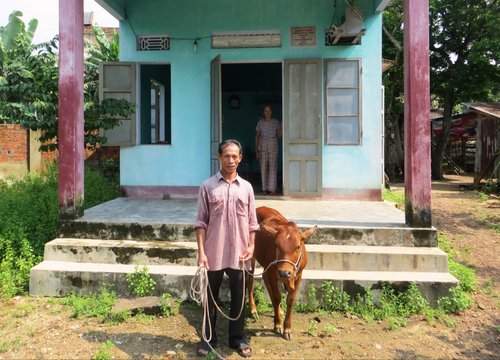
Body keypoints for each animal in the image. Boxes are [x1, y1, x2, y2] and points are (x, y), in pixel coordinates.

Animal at [247, 207, 316, 338]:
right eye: (276, 245)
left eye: (298, 247)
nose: (284, 273)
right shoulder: (273, 273)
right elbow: (277, 297)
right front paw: (277, 324)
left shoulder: (298, 274)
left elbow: (290, 299)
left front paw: (287, 328)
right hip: (250, 257)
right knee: (250, 282)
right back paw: (253, 310)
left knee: (264, 277)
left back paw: (279, 310)